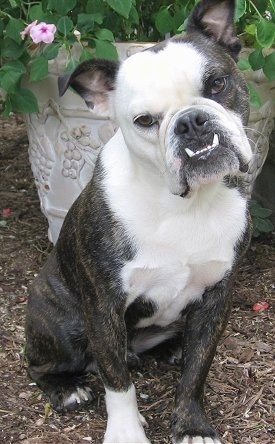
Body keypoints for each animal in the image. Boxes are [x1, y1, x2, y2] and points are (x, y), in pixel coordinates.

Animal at [24, 1, 253, 442]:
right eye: (145, 120)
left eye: (218, 84)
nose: (192, 123)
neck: (184, 206)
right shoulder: (104, 306)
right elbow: (118, 383)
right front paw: (127, 432)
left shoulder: (216, 299)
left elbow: (197, 369)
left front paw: (191, 425)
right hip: (63, 325)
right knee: (42, 364)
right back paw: (67, 389)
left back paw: (170, 349)